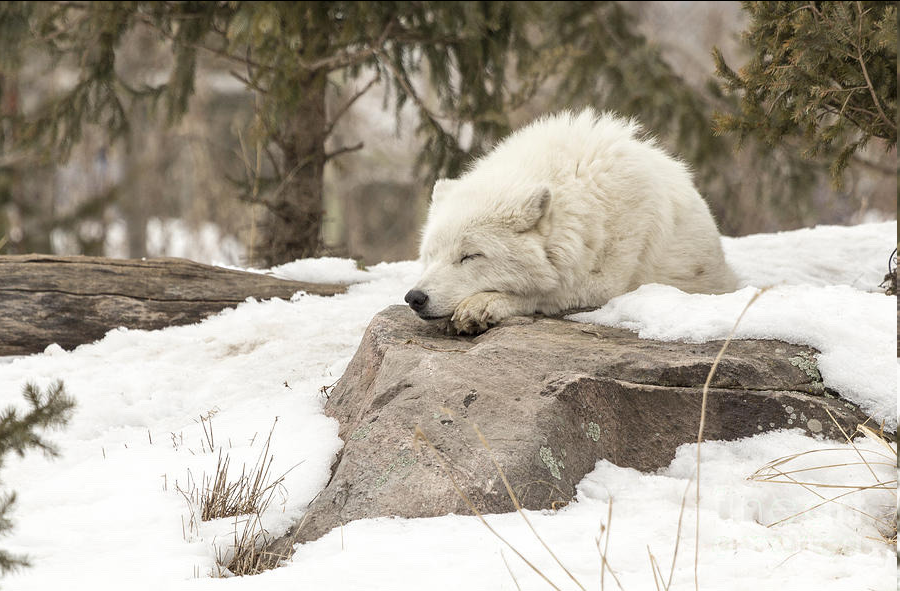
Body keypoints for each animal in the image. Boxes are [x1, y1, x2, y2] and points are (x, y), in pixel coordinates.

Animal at [404, 109, 736, 336]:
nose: (414, 298)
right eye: (431, 256)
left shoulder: (604, 284)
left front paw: (481, 305)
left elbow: (542, 292)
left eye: (470, 256)